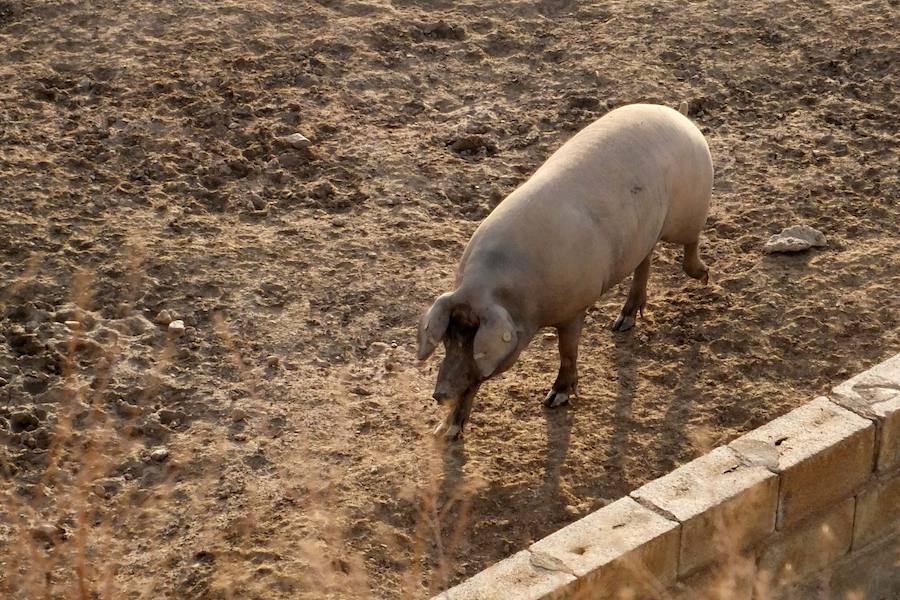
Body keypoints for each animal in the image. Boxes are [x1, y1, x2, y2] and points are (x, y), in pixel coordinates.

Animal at [418, 103, 712, 440]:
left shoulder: (575, 308)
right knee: (645, 261)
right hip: (645, 232)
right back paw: (621, 324)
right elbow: (475, 383)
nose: (439, 394)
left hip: (687, 213)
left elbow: (566, 350)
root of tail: (678, 114)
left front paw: (554, 399)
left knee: (691, 243)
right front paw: (446, 433)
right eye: (449, 339)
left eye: (472, 340)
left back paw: (704, 277)